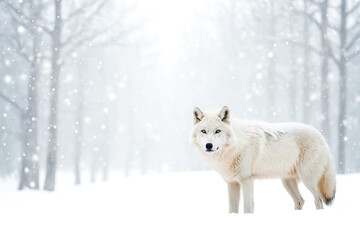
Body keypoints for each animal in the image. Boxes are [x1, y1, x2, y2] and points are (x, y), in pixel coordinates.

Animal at [191, 106, 338, 213]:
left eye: (217, 131)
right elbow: (232, 210)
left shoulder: (246, 181)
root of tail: (321, 136)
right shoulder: (232, 183)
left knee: (318, 201)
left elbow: (248, 208)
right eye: (203, 131)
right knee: (300, 201)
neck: (234, 146)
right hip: (287, 182)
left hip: (307, 179)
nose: (208, 145)